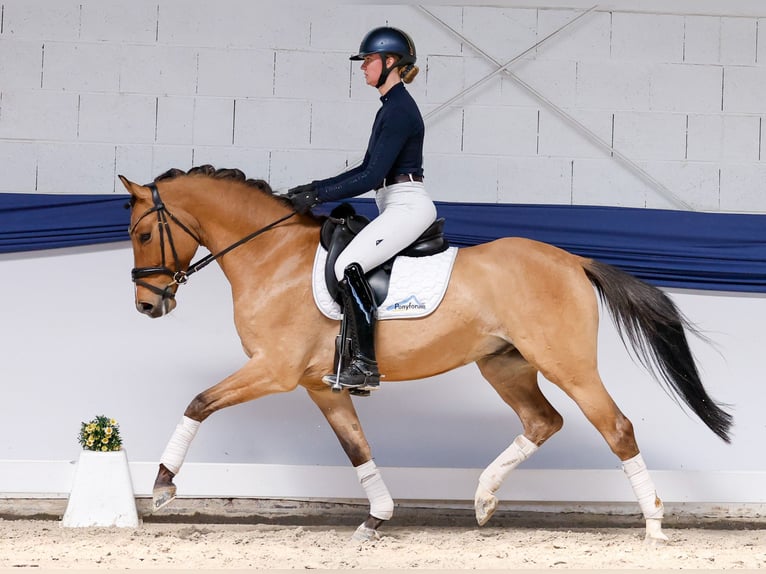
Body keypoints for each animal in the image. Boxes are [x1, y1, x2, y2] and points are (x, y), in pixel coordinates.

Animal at [119, 165, 732, 544]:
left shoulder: (274, 370)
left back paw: (654, 526)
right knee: (542, 421)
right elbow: (357, 447)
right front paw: (377, 519)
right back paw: (483, 500)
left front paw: (163, 486)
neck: (272, 257)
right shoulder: (320, 384)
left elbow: (199, 402)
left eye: (145, 234)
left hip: (567, 364)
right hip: (504, 364)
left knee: (616, 427)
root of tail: (573, 260)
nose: (147, 305)